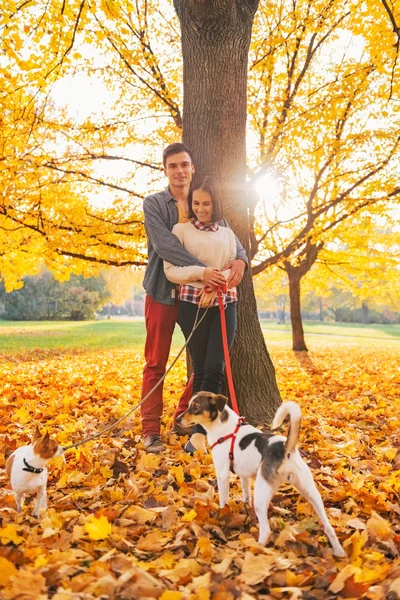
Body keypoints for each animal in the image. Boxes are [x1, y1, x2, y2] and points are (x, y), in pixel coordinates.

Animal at [177, 394, 346, 556]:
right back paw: (339, 552)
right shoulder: (244, 476)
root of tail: (284, 449)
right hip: (311, 491)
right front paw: (245, 511)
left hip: (262, 492)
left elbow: (223, 500)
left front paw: (221, 516)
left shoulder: (222, 474)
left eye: (196, 407)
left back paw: (256, 549)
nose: (177, 419)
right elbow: (246, 496)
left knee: (266, 530)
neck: (224, 428)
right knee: (329, 526)